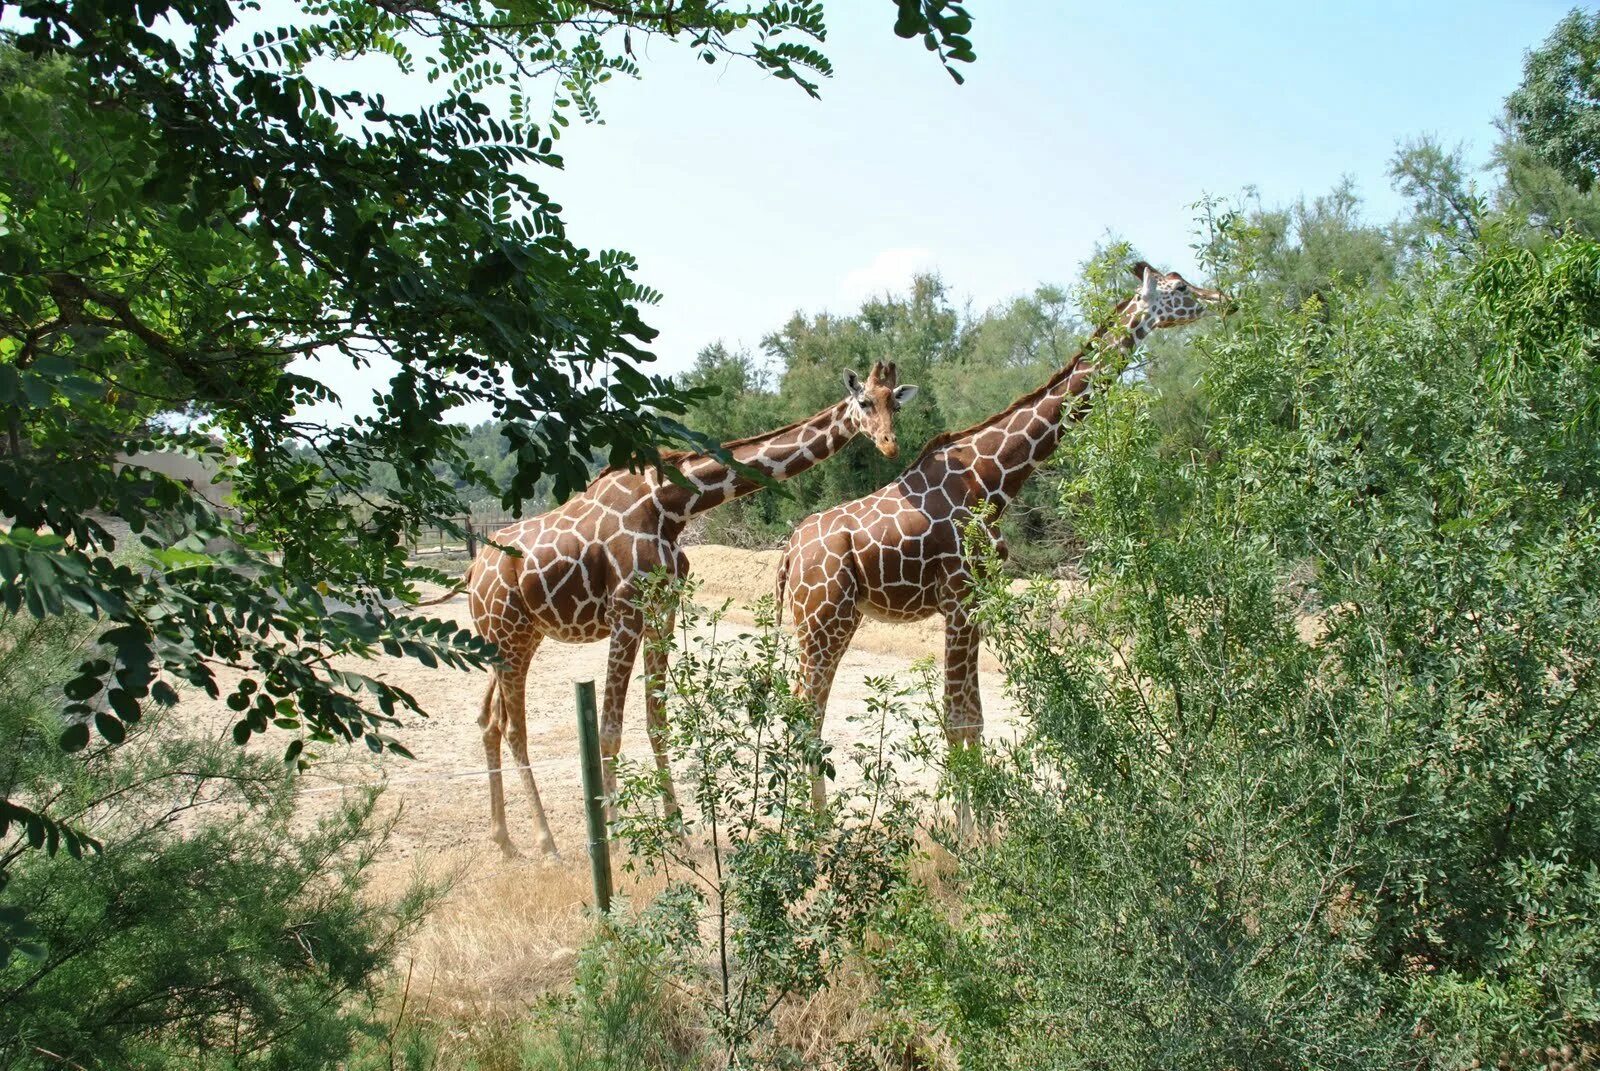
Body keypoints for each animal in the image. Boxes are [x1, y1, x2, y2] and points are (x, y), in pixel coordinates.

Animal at [467, 363, 915, 858]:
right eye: (864, 402)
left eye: (895, 404)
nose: (890, 444)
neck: (674, 505)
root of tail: (473, 568)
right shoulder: (627, 610)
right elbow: (609, 728)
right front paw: (614, 833)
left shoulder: (661, 609)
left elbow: (657, 720)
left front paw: (677, 829)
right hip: (508, 633)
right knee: (514, 729)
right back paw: (545, 843)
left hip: (513, 638)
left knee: (489, 720)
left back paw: (504, 840)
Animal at [780, 262, 1228, 806]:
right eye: (1180, 287)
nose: (1222, 298)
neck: (993, 477)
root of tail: (788, 554)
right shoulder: (959, 597)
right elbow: (957, 719)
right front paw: (971, 829)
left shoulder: (977, 599)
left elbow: (973, 718)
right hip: (824, 620)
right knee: (803, 710)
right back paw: (811, 825)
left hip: (831, 621)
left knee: (809, 709)